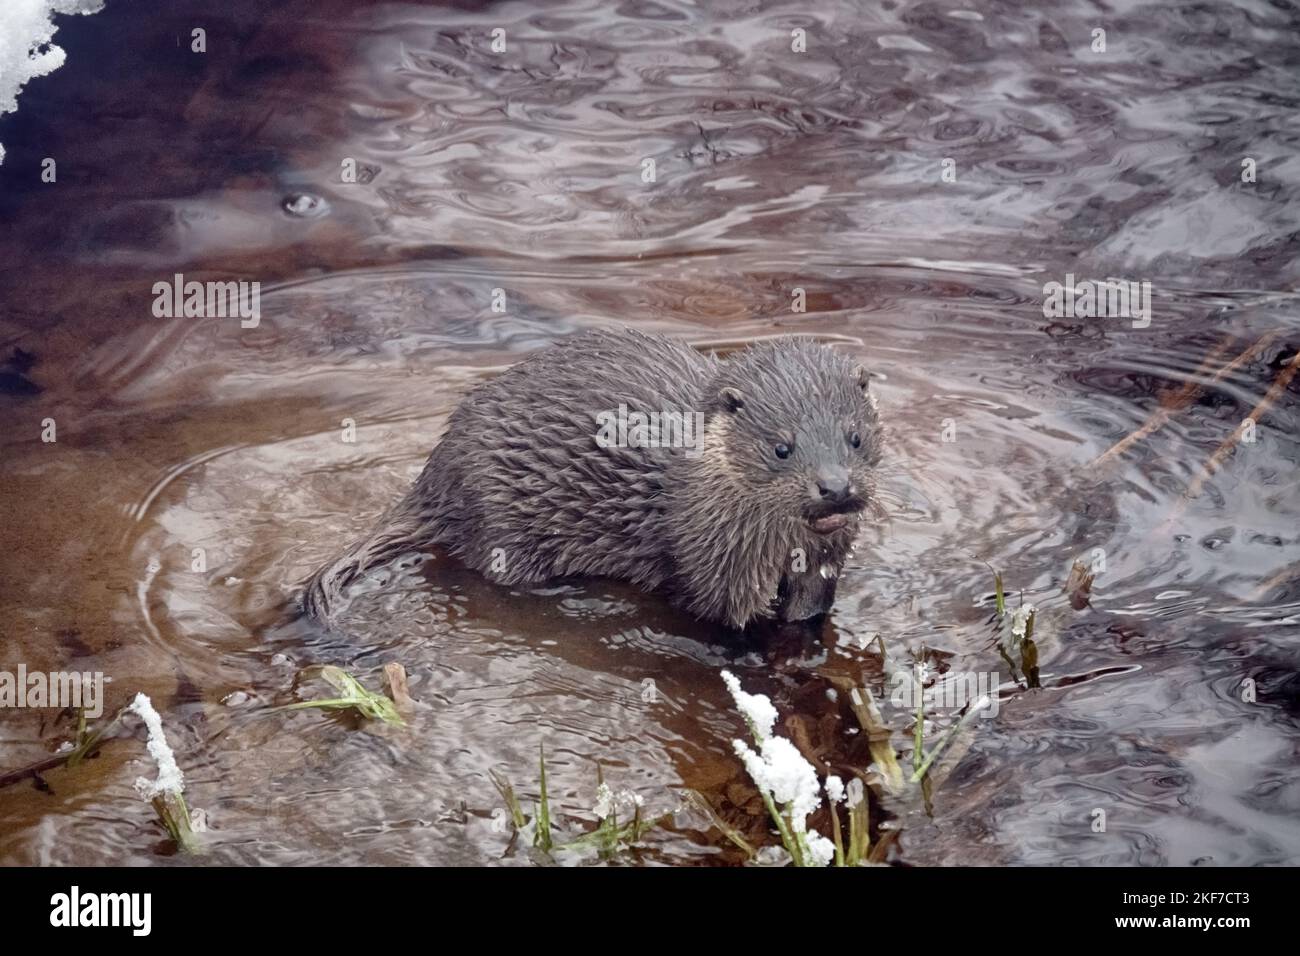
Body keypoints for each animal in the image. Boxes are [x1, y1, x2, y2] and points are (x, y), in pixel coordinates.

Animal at [301, 325, 883, 632]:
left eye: (854, 437)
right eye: (781, 447)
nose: (835, 487)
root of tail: (438, 469)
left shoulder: (826, 563)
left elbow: (808, 608)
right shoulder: (713, 565)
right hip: (499, 521)